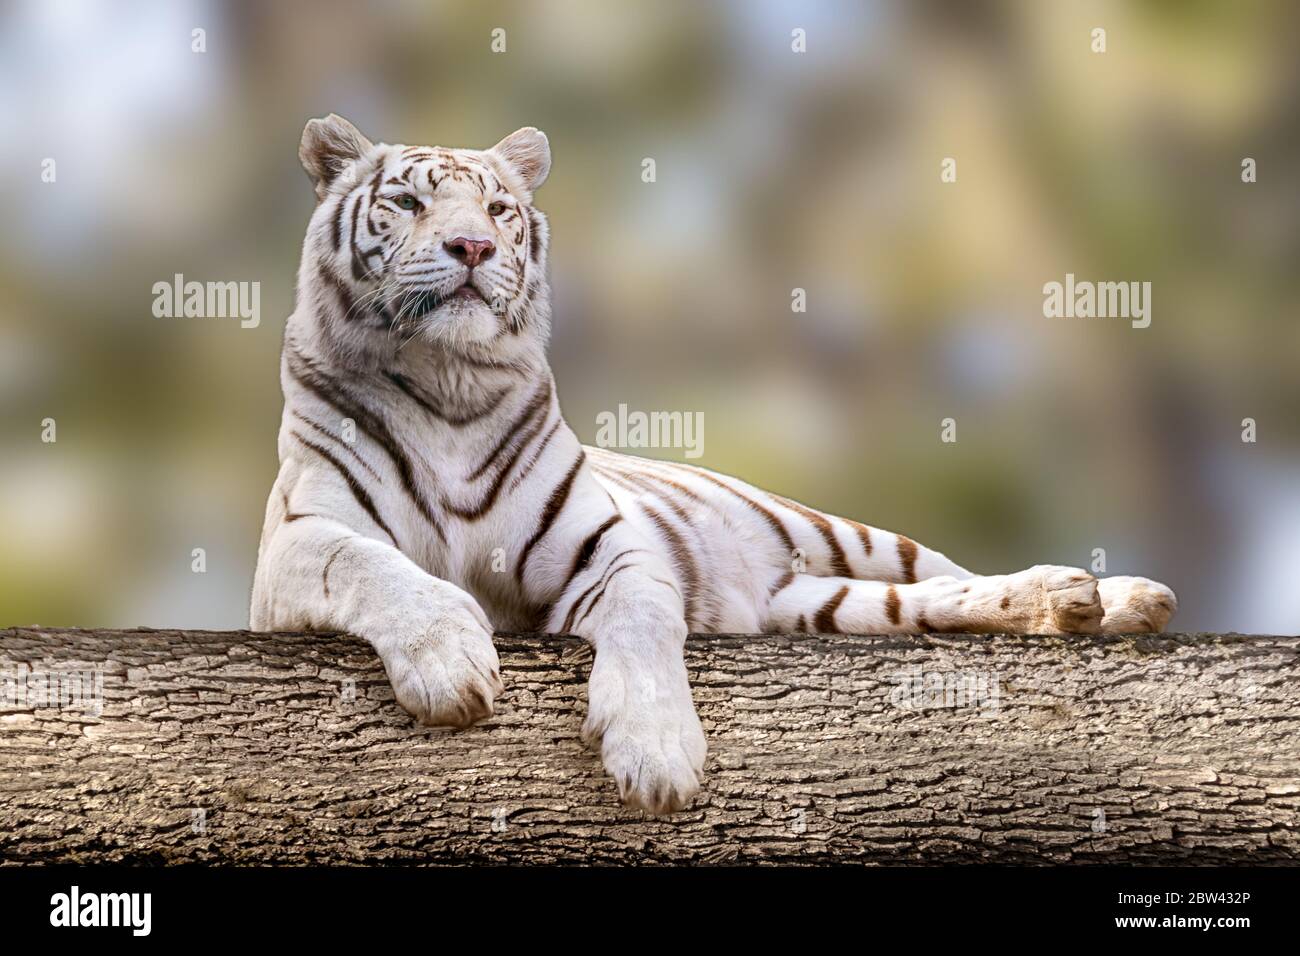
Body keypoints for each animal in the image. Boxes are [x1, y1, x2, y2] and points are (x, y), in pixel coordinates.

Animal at [253, 113, 1180, 816]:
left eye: (499, 208)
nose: (474, 247)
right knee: (928, 606)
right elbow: (373, 569)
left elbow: (641, 618)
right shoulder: (301, 542)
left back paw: (1112, 597)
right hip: (818, 605)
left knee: (952, 572)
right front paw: (450, 666)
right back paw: (1072, 604)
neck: (449, 386)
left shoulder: (609, 548)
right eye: (408, 202)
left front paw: (656, 755)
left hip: (839, 535)